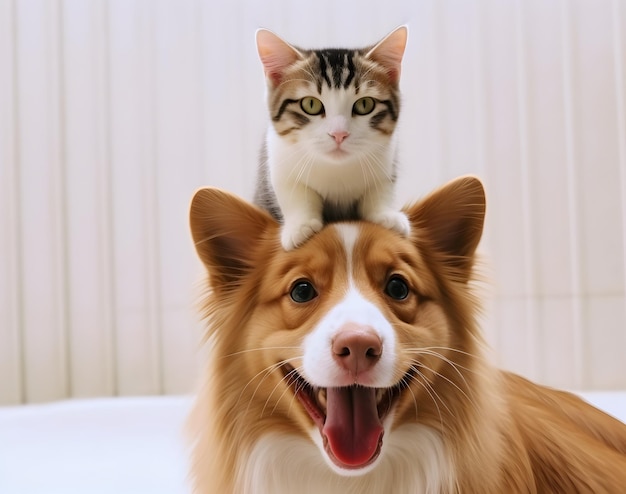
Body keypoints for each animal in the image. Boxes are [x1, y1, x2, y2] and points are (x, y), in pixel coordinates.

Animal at [254, 26, 410, 251]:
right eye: (310, 104)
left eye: (365, 104)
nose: (339, 134)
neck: (336, 168)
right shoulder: (277, 155)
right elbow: (292, 190)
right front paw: (300, 226)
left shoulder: (387, 156)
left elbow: (380, 188)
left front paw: (385, 214)